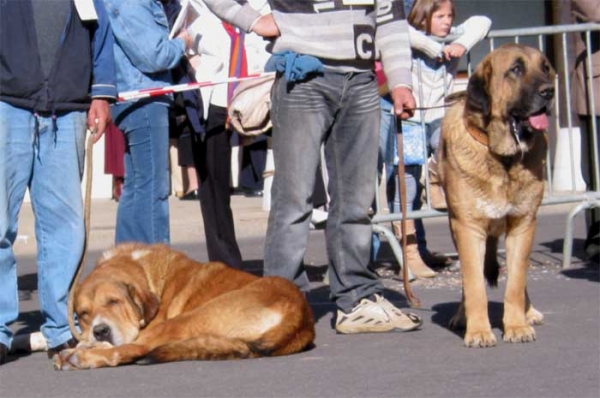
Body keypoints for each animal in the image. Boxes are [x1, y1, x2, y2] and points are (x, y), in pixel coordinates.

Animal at [54, 243, 316, 370]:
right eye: (84, 314)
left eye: (114, 302)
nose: (100, 331)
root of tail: (299, 317)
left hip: (190, 316)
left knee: (134, 349)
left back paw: (81, 357)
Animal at [438, 43, 556, 346]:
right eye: (516, 69)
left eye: (545, 67)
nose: (550, 91)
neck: (502, 159)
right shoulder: (468, 228)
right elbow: (474, 285)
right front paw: (478, 330)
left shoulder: (523, 225)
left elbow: (515, 283)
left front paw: (516, 325)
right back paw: (462, 316)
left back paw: (529, 312)